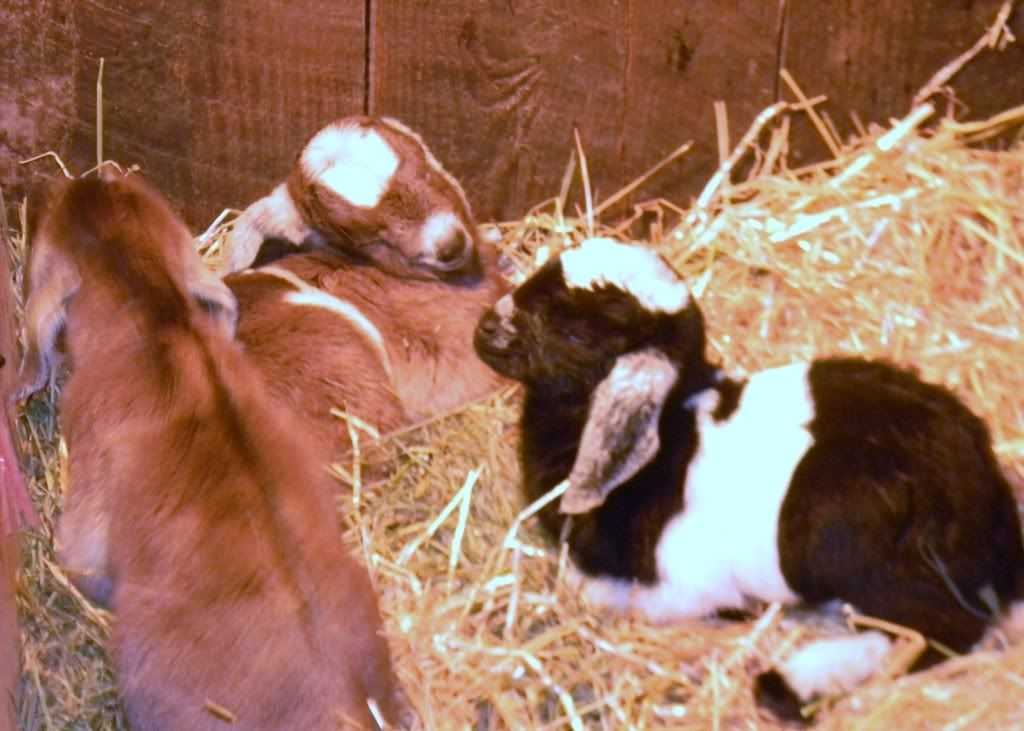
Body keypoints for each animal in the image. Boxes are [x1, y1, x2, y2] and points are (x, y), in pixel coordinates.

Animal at [473, 236, 1024, 722]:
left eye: (574, 332)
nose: (483, 329)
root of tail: (984, 509)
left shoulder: (677, 589)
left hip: (861, 555)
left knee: (937, 628)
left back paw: (795, 685)